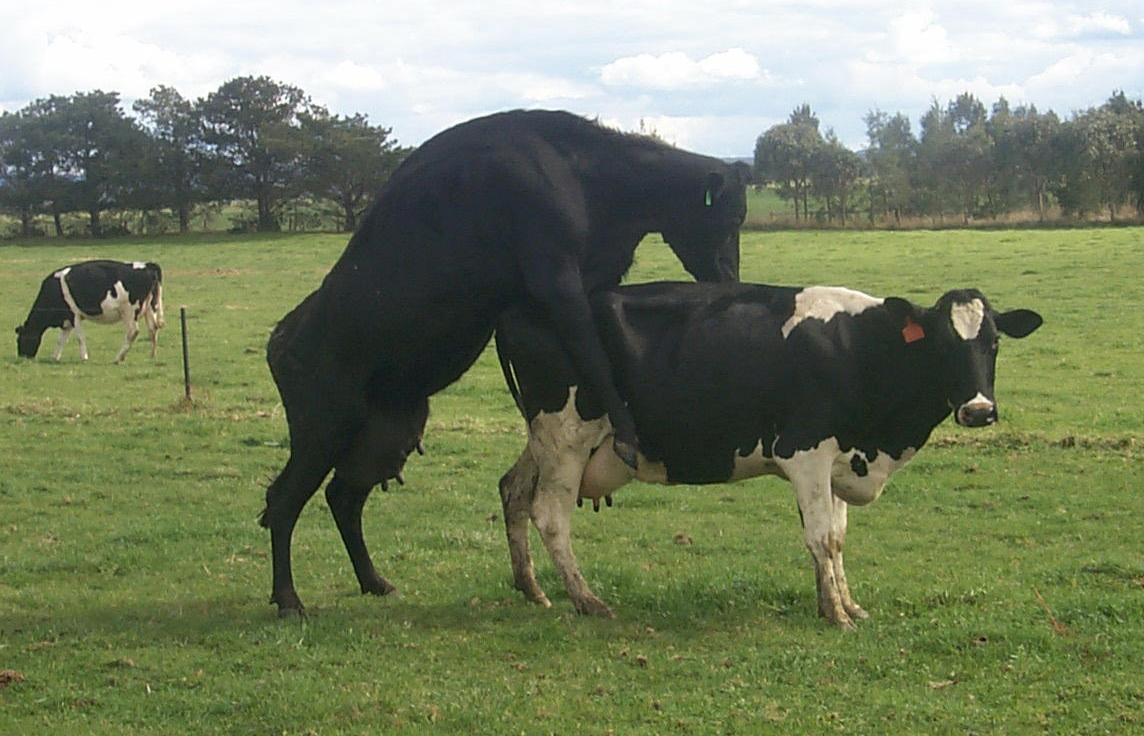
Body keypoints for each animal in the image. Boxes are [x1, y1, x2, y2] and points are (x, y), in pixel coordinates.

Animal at [16, 260, 165, 363]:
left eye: (20, 339)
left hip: (129, 311)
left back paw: (118, 358)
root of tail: (147, 265)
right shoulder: (67, 320)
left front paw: (84, 358)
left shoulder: (74, 315)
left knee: (132, 332)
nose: (22, 357)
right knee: (153, 329)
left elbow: (79, 337)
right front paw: (55, 357)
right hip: (150, 307)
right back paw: (152, 356)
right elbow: (61, 339)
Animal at [263, 109, 755, 618]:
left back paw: (374, 581)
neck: (584, 171)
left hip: (386, 432)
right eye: (731, 218)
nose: (729, 280)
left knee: (343, 497)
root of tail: (282, 338)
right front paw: (626, 433)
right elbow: (595, 358)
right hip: (323, 427)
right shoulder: (556, 277)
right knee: (282, 501)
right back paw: (289, 600)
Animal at [496, 280, 1043, 627]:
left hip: (545, 440)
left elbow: (837, 538)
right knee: (550, 515)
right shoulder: (805, 451)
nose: (978, 410)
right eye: (942, 346)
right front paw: (836, 615)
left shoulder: (837, 458)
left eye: (993, 343)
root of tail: (520, 312)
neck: (859, 351)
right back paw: (587, 601)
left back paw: (532, 588)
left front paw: (845, 604)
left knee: (513, 492)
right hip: (566, 437)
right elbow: (822, 537)